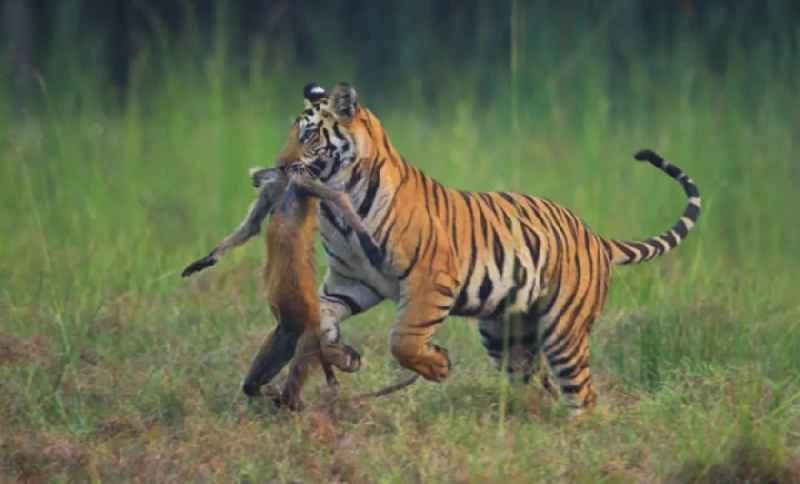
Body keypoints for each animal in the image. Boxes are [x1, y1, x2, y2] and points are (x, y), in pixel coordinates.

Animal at [292, 82, 701, 413]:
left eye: (309, 136)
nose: (283, 167)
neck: (339, 207)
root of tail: (594, 236)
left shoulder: (430, 278)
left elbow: (403, 339)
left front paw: (438, 366)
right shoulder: (351, 281)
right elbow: (321, 319)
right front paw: (344, 356)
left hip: (564, 331)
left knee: (582, 394)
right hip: (507, 333)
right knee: (539, 384)